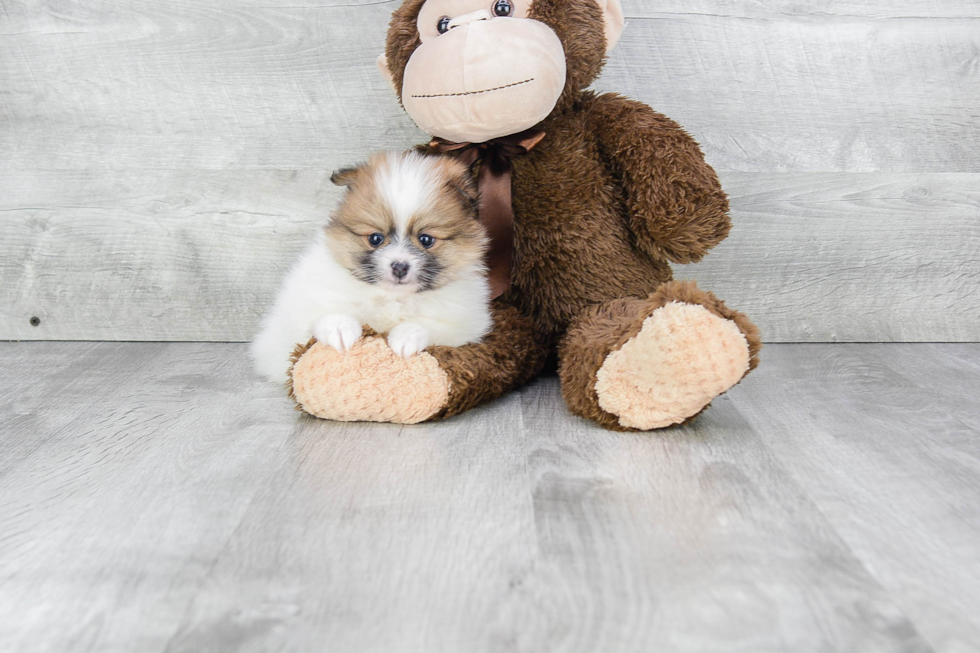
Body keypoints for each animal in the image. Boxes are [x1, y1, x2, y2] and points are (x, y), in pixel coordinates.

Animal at [253, 150, 490, 384]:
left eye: (426, 239)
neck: (391, 297)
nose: (399, 267)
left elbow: (427, 325)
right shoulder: (305, 307)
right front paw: (339, 329)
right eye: (375, 238)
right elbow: (327, 314)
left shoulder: (465, 325)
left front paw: (406, 337)